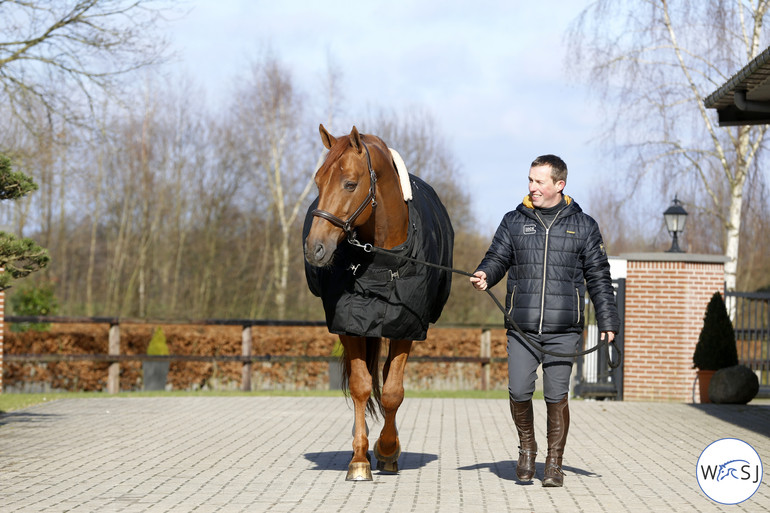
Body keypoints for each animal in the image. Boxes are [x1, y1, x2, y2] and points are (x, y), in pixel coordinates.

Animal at [304, 124, 452, 480]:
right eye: (318, 182)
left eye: (349, 183)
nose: (315, 248)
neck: (384, 261)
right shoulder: (349, 324)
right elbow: (361, 386)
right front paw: (359, 459)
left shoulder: (407, 327)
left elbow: (393, 391)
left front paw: (386, 450)